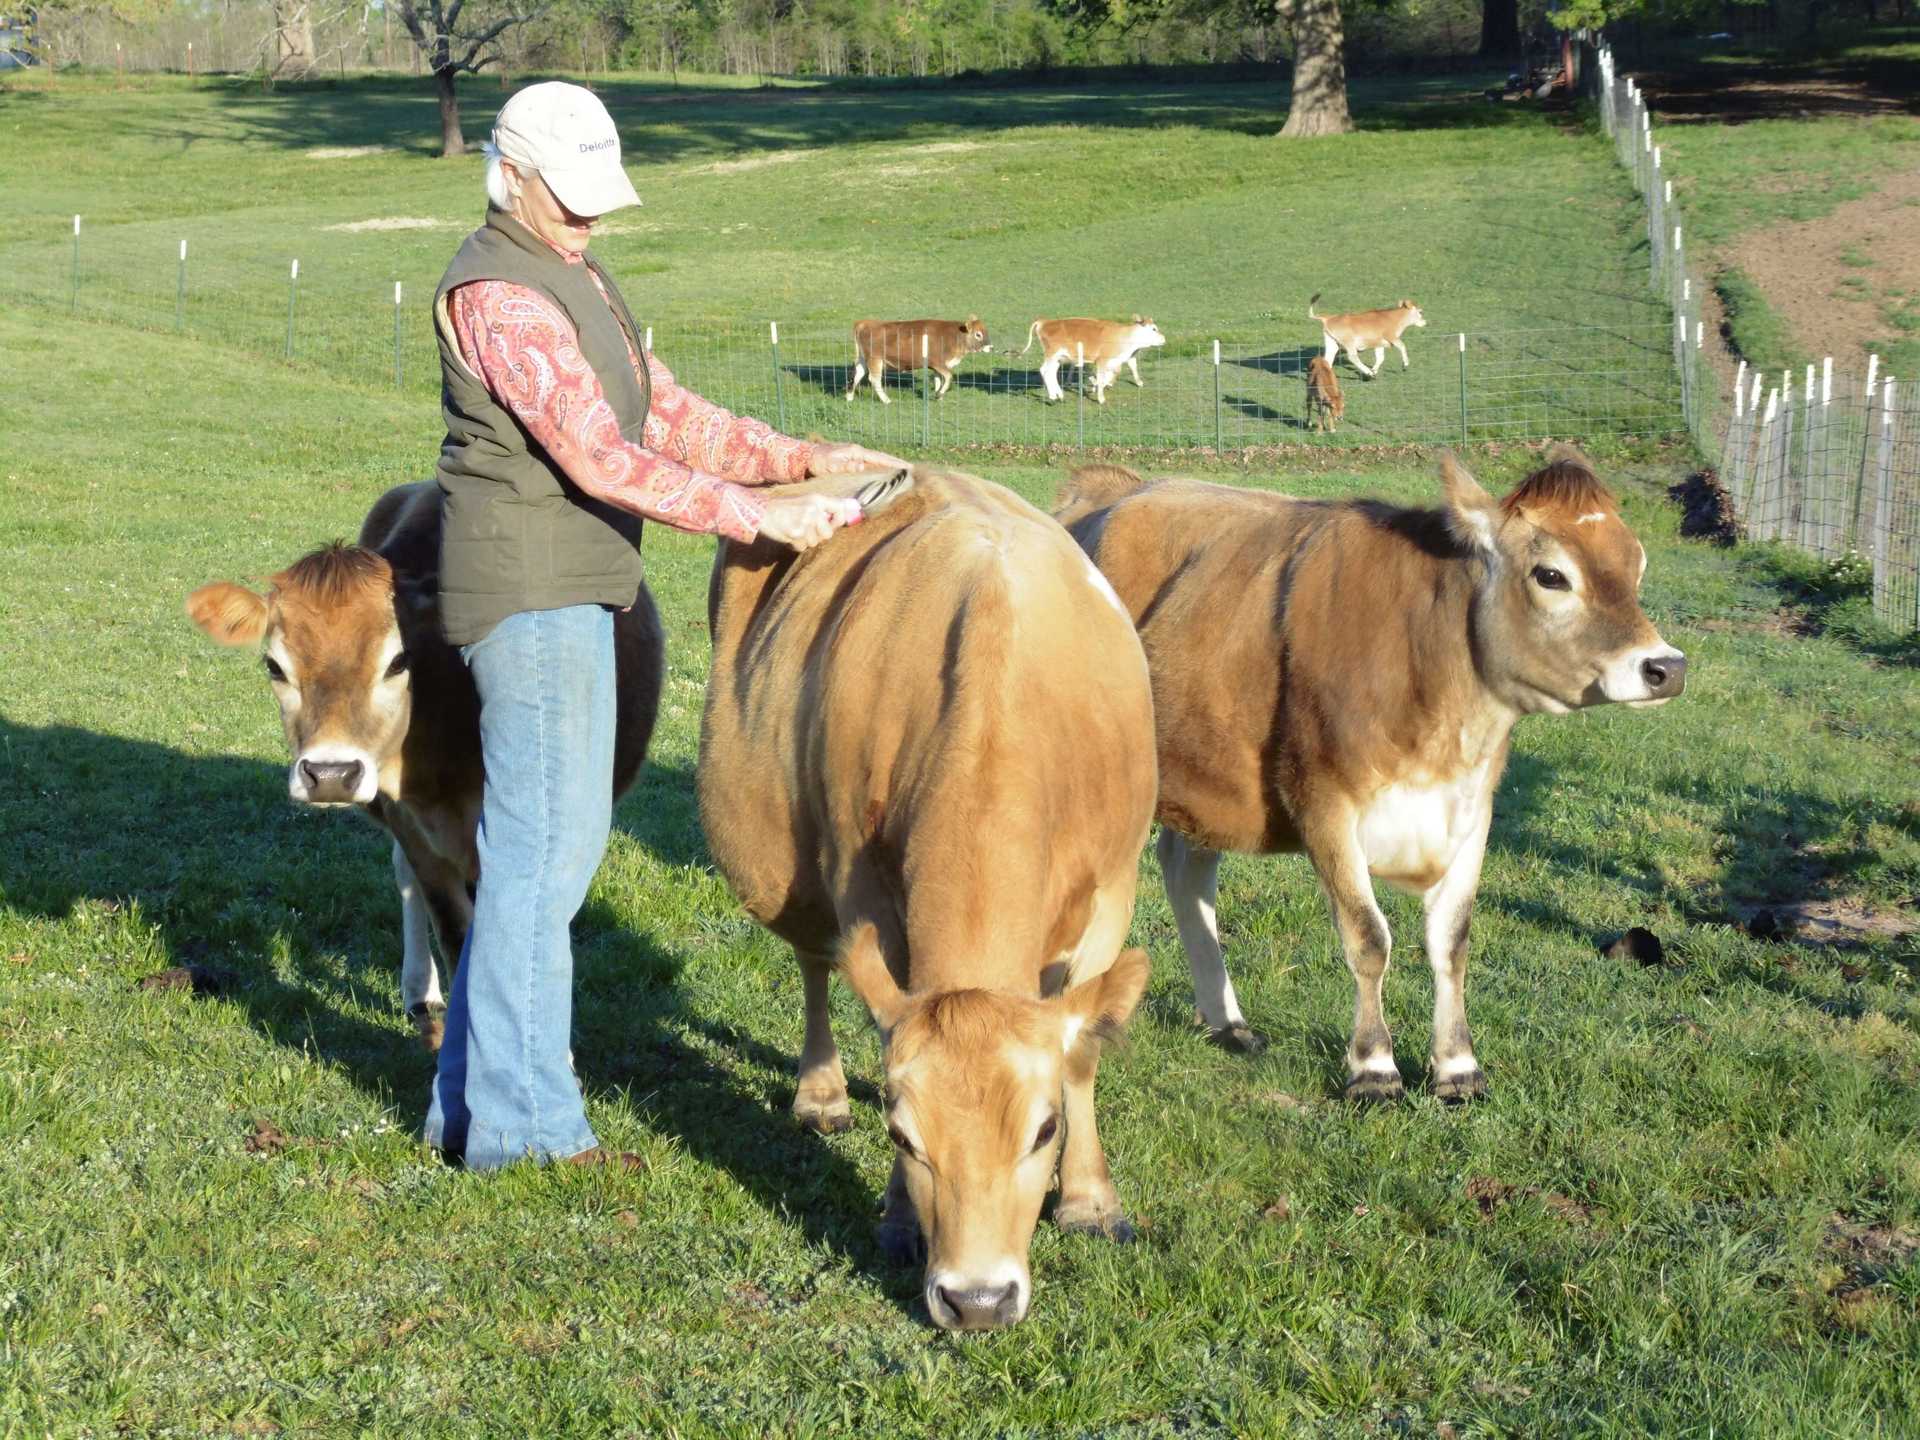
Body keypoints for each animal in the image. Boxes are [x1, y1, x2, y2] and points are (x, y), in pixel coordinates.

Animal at [185, 482, 665, 1049]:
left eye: (398, 661)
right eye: (275, 666)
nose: (331, 775)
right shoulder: (413, 827)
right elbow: (455, 932)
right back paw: (421, 993)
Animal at [698, 467, 1159, 1330]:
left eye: (1044, 1129)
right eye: (901, 1133)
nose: (977, 1300)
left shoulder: (1114, 892)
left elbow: (1082, 1050)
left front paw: (1088, 1199)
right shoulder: (860, 887)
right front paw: (898, 1216)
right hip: (796, 873)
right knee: (815, 966)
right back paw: (820, 1092)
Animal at [846, 316, 991, 404]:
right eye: (978, 334)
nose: (990, 347)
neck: (952, 336)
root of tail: (864, 323)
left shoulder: (937, 367)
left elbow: (938, 380)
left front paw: (939, 396)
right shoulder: (937, 363)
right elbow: (949, 376)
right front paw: (939, 394)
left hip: (862, 360)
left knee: (857, 375)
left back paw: (849, 397)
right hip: (875, 360)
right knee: (874, 380)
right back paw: (886, 400)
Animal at [1020, 316, 1166, 405]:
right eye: (1154, 329)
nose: (1164, 338)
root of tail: (1045, 321)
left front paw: (1095, 386)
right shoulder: (1102, 362)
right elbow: (1102, 379)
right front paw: (1100, 397)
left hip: (1058, 358)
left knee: (1051, 373)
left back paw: (1059, 395)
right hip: (1052, 355)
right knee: (1045, 371)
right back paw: (1053, 396)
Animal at [1054, 449, 1686, 1104]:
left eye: (1636, 565)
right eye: (1552, 575)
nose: (1667, 667)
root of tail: (1103, 487)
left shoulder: (1474, 810)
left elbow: (1451, 941)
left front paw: (1458, 1066)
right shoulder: (1324, 804)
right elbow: (1368, 937)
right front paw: (1375, 1067)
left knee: (1187, 871)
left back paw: (1227, 1021)